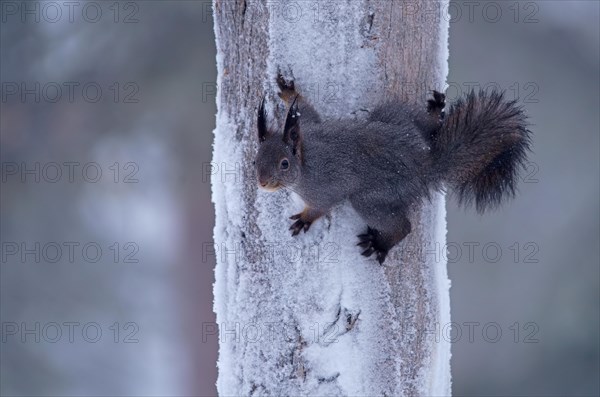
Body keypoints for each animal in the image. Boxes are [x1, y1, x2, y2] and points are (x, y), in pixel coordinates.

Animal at [255, 76, 532, 264]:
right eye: (255, 158)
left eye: (284, 164)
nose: (262, 182)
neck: (306, 159)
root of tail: (424, 165)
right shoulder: (309, 127)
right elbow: (307, 110)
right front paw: (287, 91)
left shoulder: (324, 188)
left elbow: (321, 207)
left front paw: (305, 219)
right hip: (394, 117)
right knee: (424, 128)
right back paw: (434, 113)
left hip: (371, 198)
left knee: (402, 226)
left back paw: (381, 244)